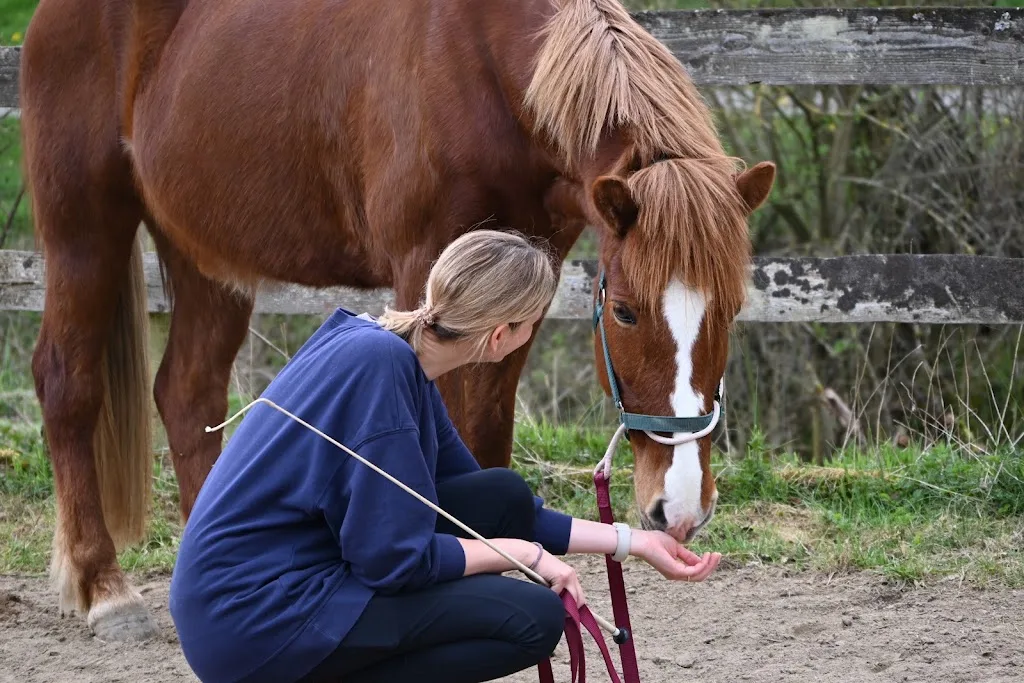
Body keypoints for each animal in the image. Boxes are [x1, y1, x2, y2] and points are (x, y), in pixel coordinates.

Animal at [19, 0, 775, 642]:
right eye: (624, 310)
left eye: (733, 307)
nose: (681, 507)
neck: (487, 66)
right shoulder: (425, 268)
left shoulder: (525, 275)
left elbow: (485, 434)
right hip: (85, 228)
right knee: (67, 382)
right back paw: (104, 587)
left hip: (207, 253)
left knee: (187, 393)